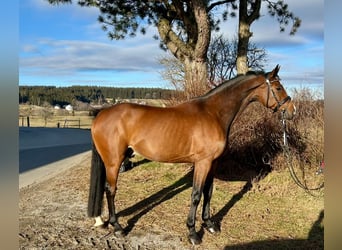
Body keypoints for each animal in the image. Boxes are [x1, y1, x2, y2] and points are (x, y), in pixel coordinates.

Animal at [87, 64, 296, 244]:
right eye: (278, 87)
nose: (292, 111)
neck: (213, 114)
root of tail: (101, 115)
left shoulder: (212, 162)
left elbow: (208, 192)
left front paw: (210, 224)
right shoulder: (202, 162)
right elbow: (196, 194)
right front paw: (193, 233)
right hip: (113, 162)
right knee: (110, 190)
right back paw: (117, 227)